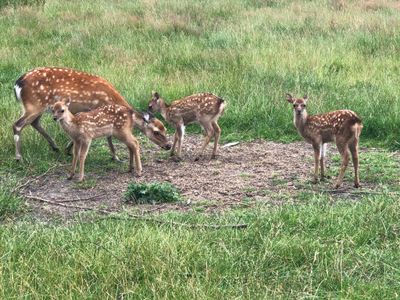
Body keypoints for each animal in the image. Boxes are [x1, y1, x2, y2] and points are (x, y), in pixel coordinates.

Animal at [12, 67, 171, 162]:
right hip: (34, 104)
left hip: (37, 107)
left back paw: (55, 147)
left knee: (34, 123)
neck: (111, 99)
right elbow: (108, 136)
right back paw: (19, 157)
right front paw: (116, 157)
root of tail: (17, 84)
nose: (168, 145)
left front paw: (68, 150)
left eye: (165, 128)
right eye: (156, 132)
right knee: (17, 125)